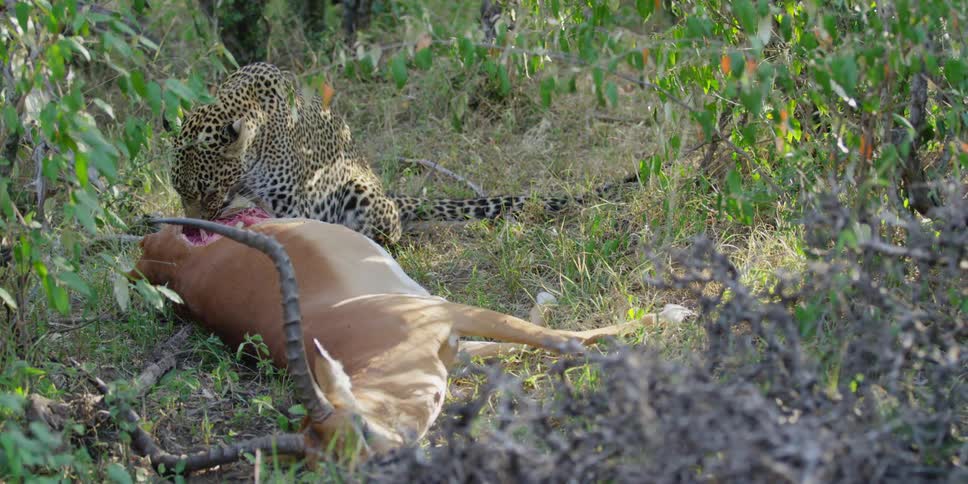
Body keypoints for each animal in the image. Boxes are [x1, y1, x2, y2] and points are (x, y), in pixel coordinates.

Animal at [121, 208, 692, 474]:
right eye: (336, 471)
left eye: (360, 429)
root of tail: (147, 258)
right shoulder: (450, 344)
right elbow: (536, 342)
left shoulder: (449, 315)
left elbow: (559, 339)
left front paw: (671, 313)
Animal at [171, 62, 635, 246]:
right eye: (179, 192)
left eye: (206, 190)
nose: (191, 226)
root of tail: (390, 193)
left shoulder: (295, 203)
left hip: (360, 190)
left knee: (389, 230)